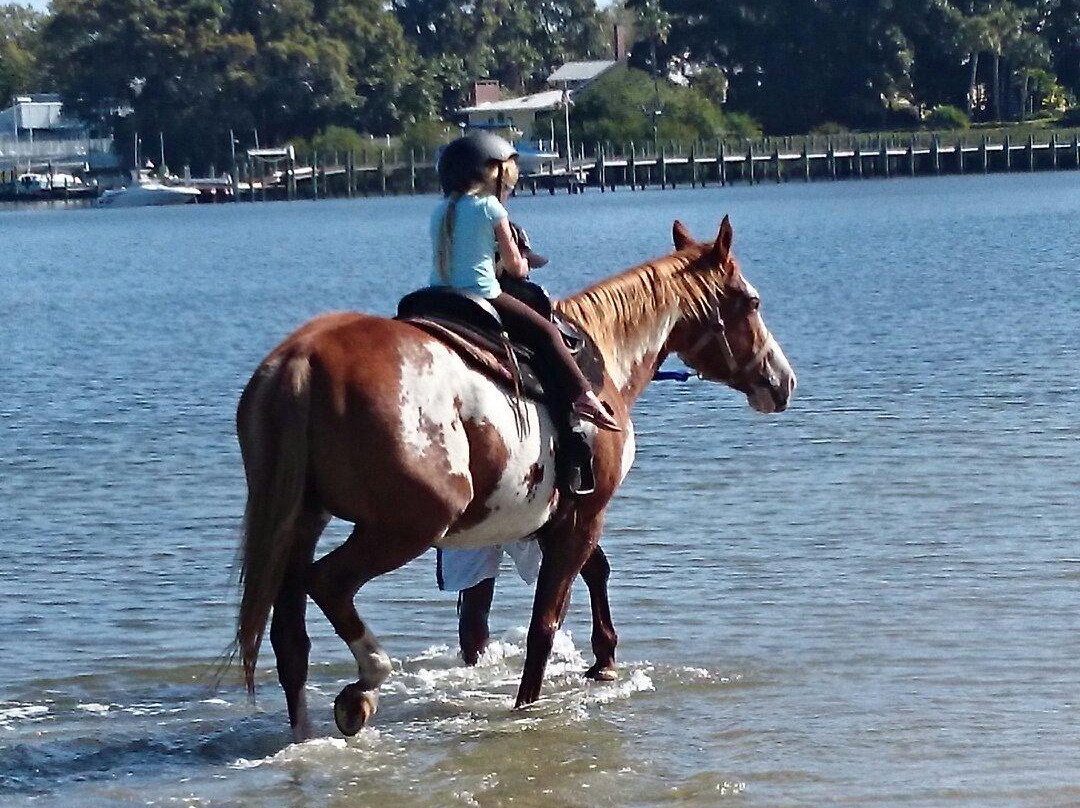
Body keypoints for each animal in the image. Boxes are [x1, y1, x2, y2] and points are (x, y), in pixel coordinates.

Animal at [234, 216, 796, 741]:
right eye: (750, 301)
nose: (783, 380)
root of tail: (302, 361)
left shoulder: (561, 515)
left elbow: (594, 573)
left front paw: (604, 659)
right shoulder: (585, 514)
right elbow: (545, 622)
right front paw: (533, 702)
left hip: (300, 522)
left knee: (291, 640)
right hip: (408, 527)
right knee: (328, 583)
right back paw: (364, 687)